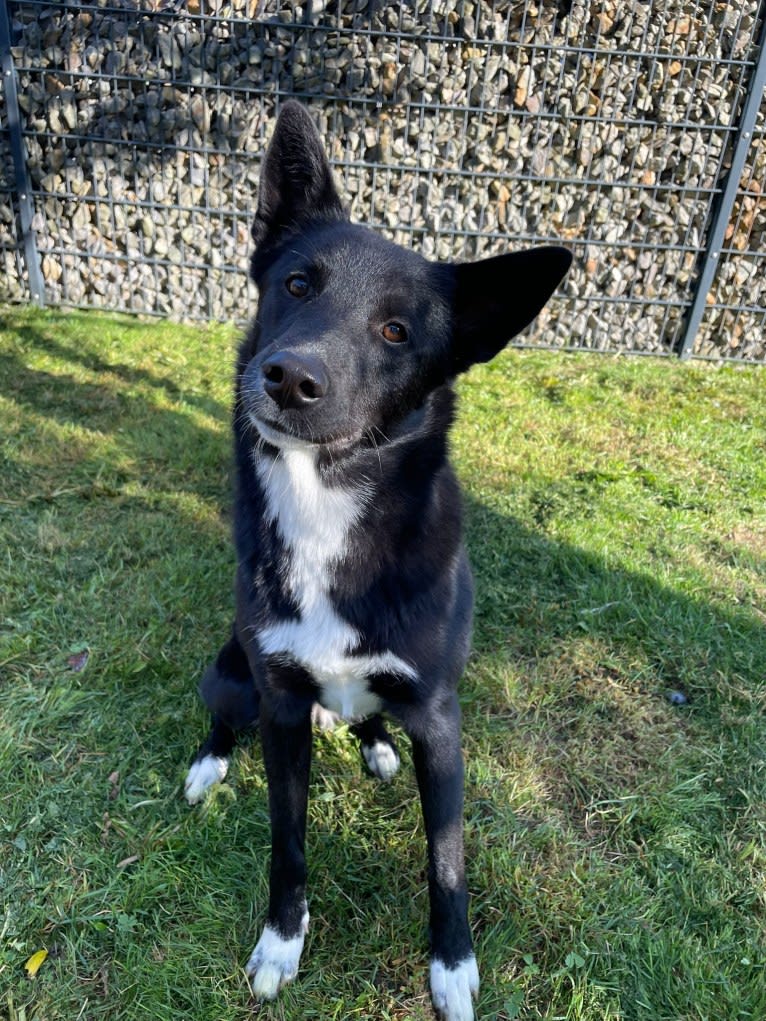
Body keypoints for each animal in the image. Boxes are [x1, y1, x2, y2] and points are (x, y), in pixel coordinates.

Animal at [184, 105, 571, 1021]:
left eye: (397, 330)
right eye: (297, 285)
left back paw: (373, 745)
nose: (289, 377)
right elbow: (288, 842)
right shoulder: (283, 711)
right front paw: (281, 943)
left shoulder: (439, 716)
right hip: (234, 673)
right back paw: (208, 764)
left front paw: (453, 967)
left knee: (369, 720)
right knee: (221, 711)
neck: (325, 505)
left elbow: (447, 859)